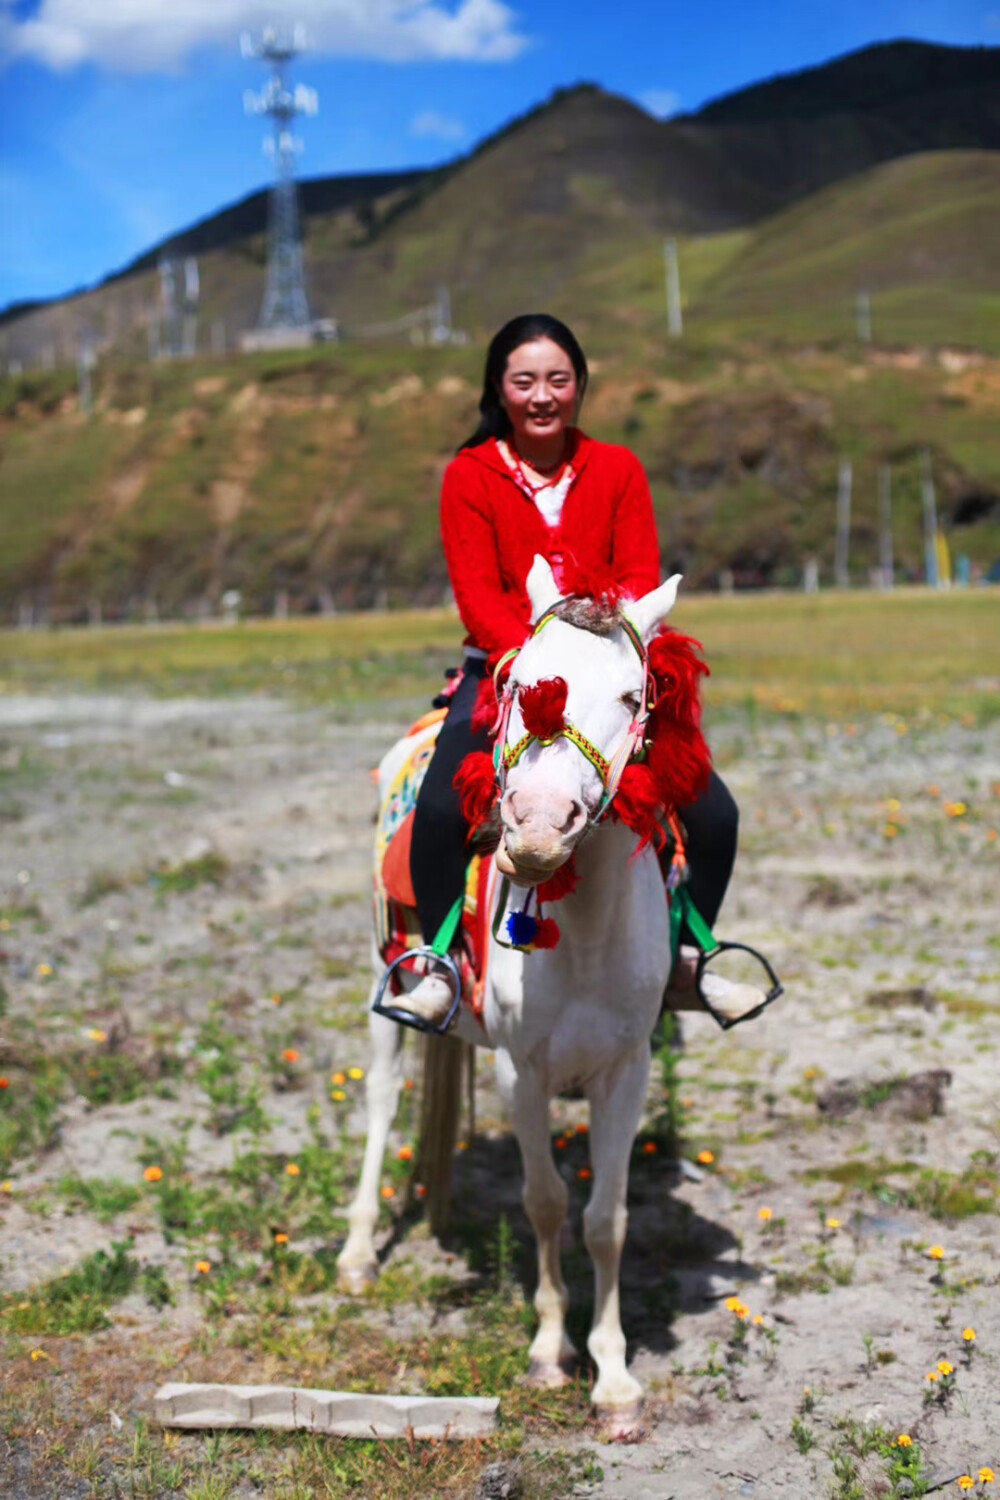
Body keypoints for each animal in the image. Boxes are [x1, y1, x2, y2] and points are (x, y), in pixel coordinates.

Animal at [340, 558, 683, 1422]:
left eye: (631, 697)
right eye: (522, 683)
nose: (536, 828)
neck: (583, 937)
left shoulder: (626, 1071)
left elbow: (605, 1216)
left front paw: (613, 1375)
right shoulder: (519, 1073)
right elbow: (546, 1201)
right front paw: (548, 1352)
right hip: (384, 979)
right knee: (383, 1100)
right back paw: (358, 1253)